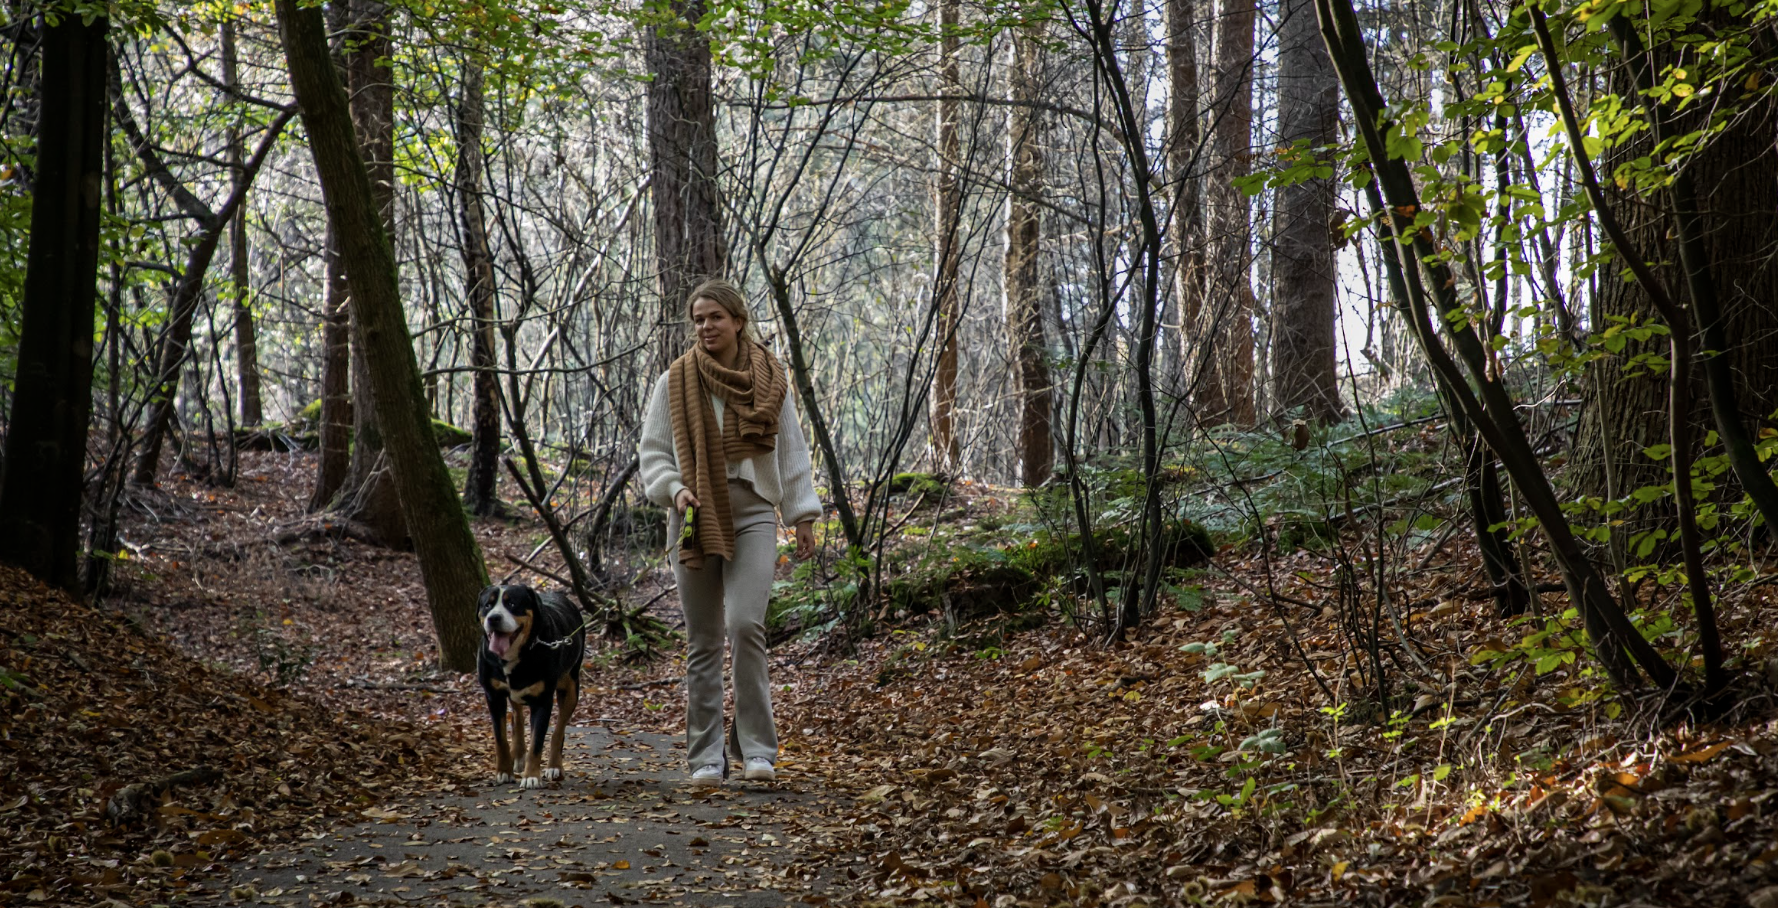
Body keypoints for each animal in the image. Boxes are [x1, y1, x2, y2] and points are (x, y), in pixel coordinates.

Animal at [476, 586, 586, 785]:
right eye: (488, 605)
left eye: (512, 604)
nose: (494, 618)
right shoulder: (493, 696)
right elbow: (500, 738)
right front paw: (503, 771)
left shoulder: (542, 701)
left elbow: (537, 742)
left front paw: (531, 777)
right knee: (518, 717)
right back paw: (519, 755)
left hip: (571, 688)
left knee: (559, 730)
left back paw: (554, 766)